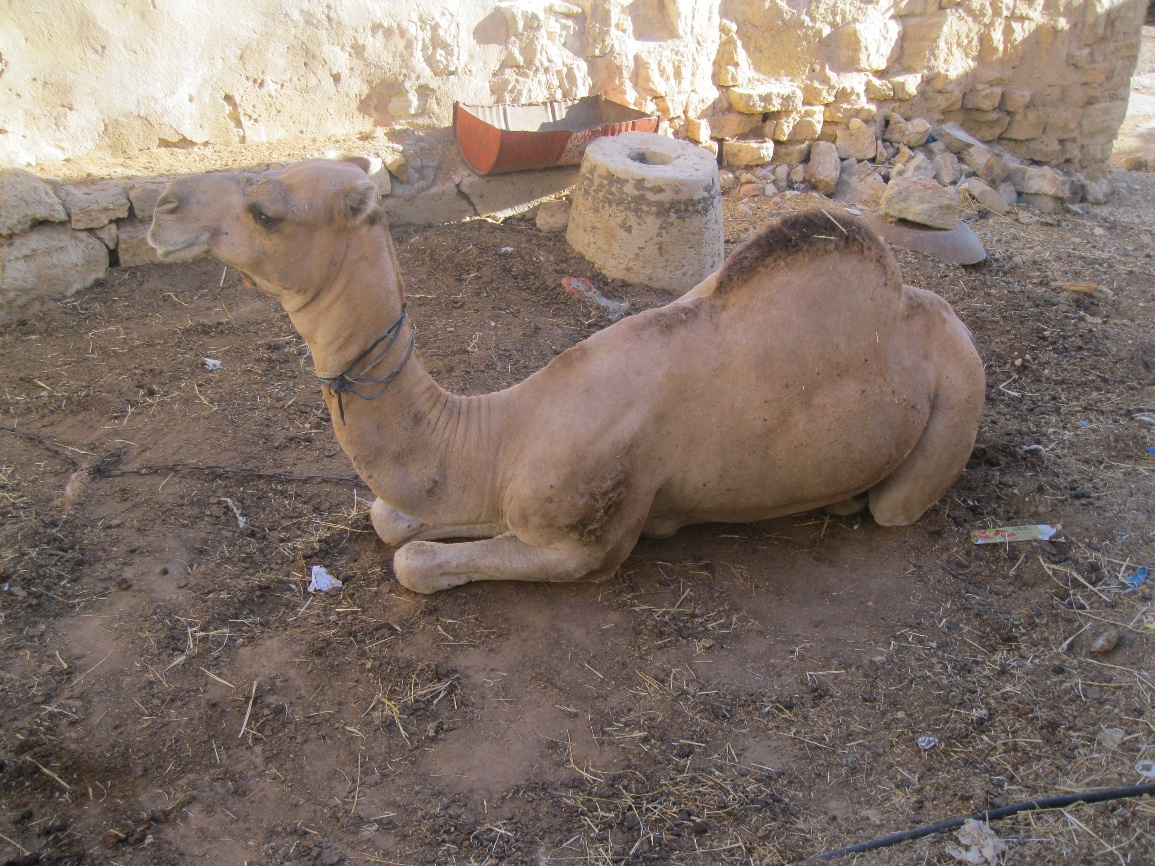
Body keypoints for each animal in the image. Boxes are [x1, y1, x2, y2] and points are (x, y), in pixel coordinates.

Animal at [148, 159, 988, 595]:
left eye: (266, 211)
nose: (162, 203)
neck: (501, 432)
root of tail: (931, 308)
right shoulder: (494, 498)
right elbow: (392, 519)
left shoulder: (584, 546)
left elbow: (414, 562)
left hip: (955, 403)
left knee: (893, 505)